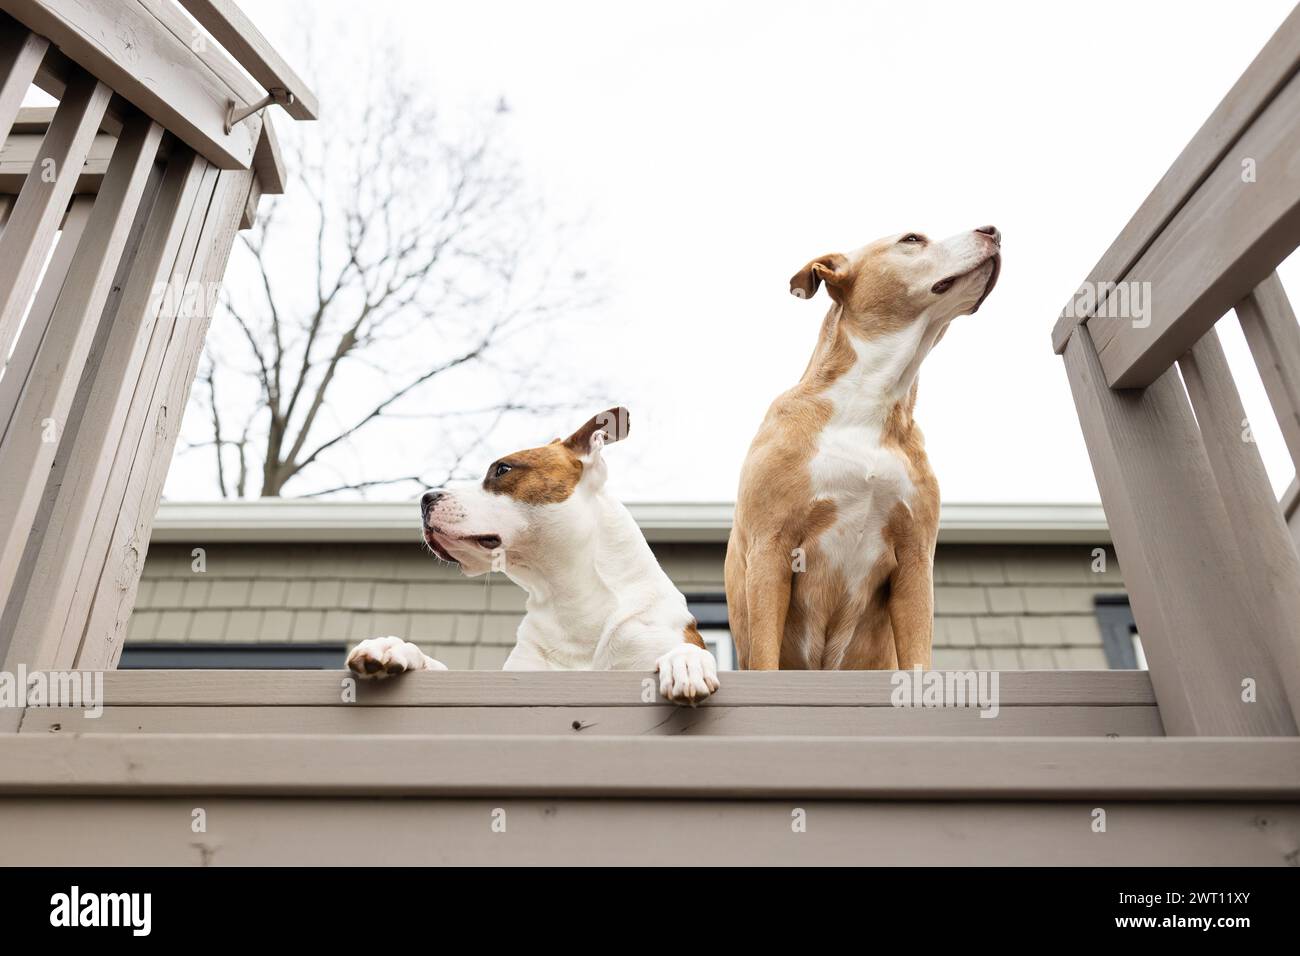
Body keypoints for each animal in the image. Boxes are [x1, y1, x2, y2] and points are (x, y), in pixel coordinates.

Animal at [345, 408, 722, 707]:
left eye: (502, 470)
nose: (425, 498)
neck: (570, 601)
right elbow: (437, 665)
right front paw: (394, 647)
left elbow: (687, 650)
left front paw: (687, 661)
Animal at [728, 227, 998, 671]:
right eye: (912, 239)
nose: (993, 231)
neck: (871, 396)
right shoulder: (770, 547)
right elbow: (765, 656)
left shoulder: (915, 562)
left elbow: (918, 655)